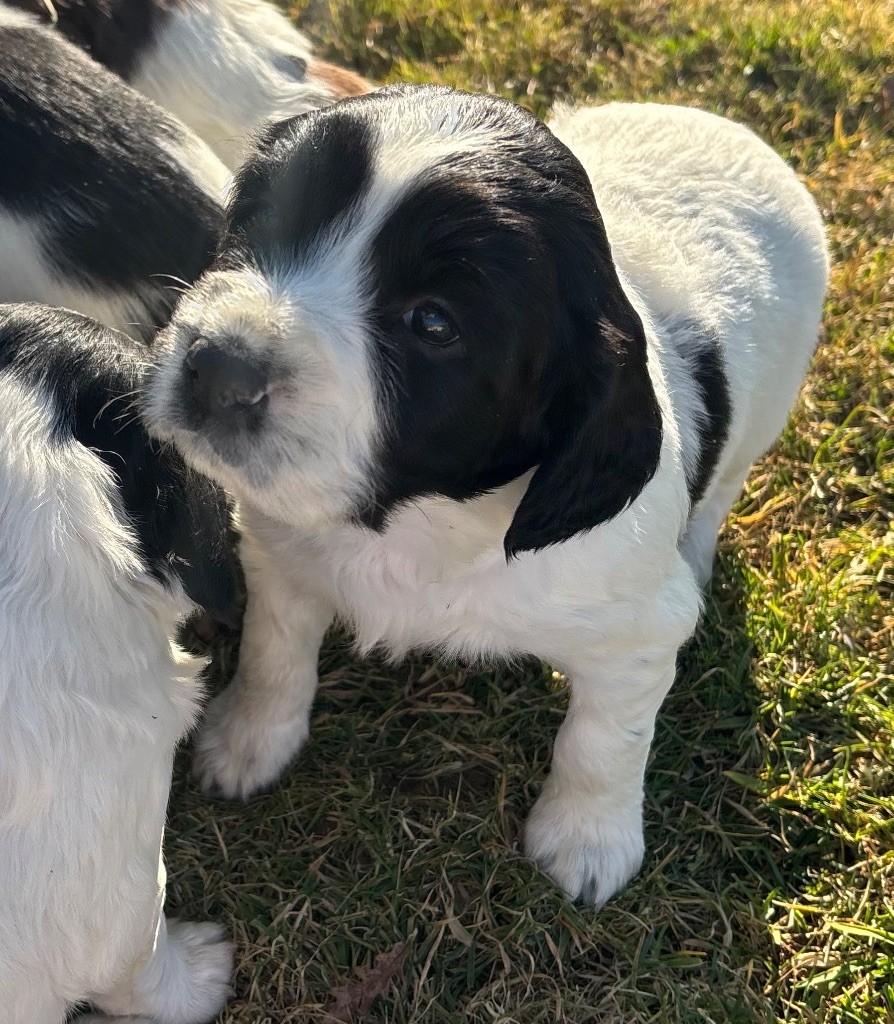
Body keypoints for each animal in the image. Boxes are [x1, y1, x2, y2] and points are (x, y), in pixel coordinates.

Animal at [143, 86, 827, 905]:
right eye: (265, 226)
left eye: (434, 323)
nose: (218, 368)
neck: (417, 519)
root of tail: (724, 127)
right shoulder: (283, 553)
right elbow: (275, 653)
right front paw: (249, 741)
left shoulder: (635, 633)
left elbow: (603, 742)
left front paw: (588, 842)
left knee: (719, 488)